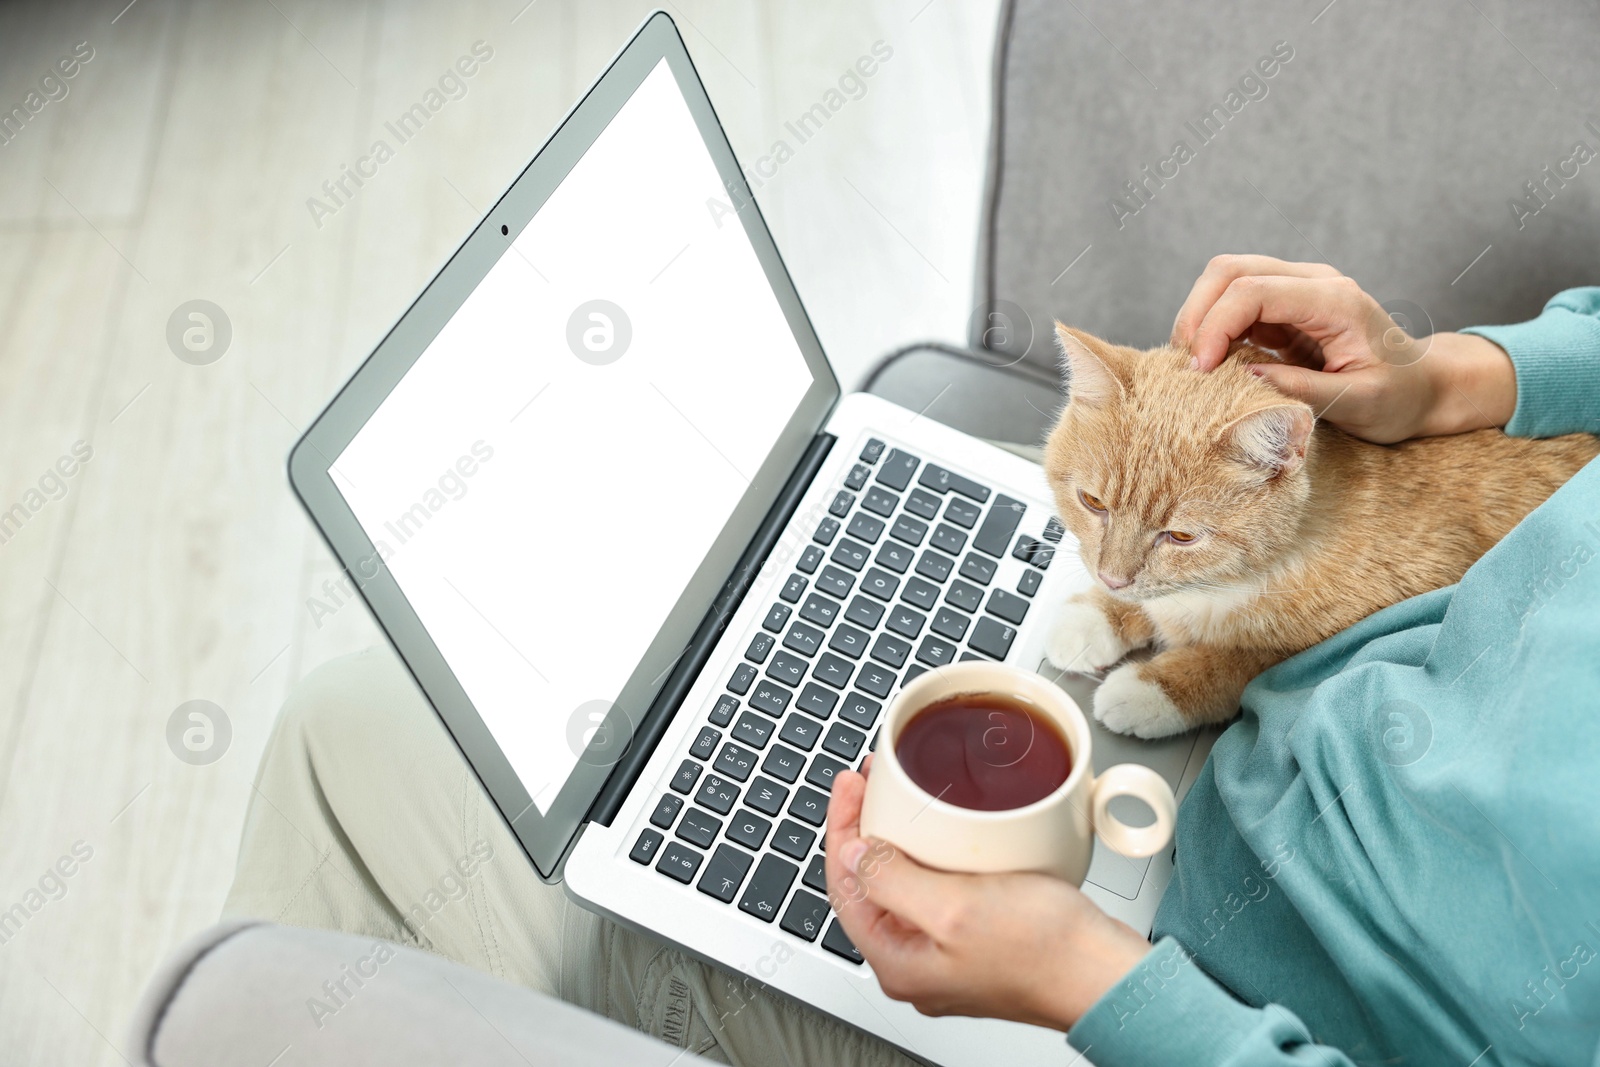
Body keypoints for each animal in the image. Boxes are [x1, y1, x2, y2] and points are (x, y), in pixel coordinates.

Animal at [1043, 259, 1593, 742]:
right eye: (1092, 503)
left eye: (1181, 536)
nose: (1112, 579)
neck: (1236, 581)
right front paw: (1096, 615)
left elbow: (1242, 658)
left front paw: (1153, 687)